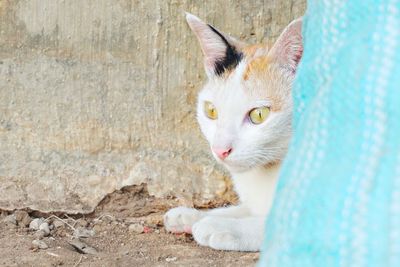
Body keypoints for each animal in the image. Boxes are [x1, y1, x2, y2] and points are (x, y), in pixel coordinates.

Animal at [163, 13, 304, 252]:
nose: (220, 150)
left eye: (259, 115)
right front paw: (194, 216)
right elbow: (243, 208)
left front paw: (218, 226)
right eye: (211, 111)